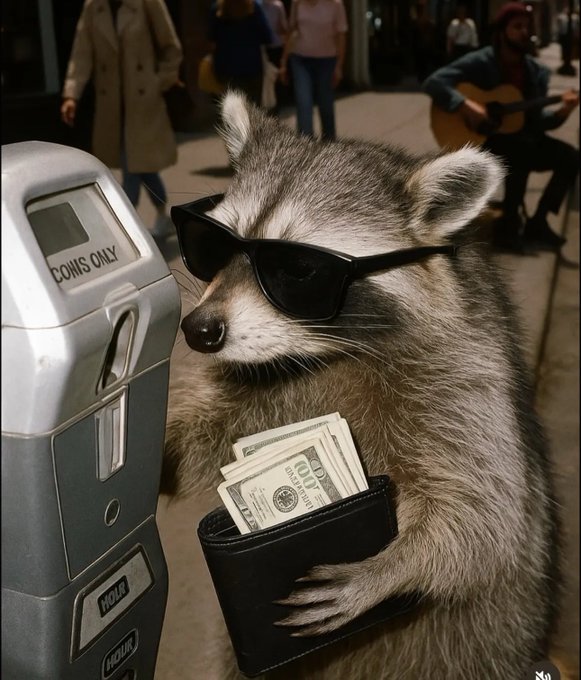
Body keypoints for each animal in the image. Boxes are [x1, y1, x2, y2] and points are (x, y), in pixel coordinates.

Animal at [162, 91, 562, 679]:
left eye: (297, 270)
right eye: (211, 245)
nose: (198, 330)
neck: (316, 355)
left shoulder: (466, 379)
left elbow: (483, 513)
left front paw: (395, 565)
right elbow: (203, 442)